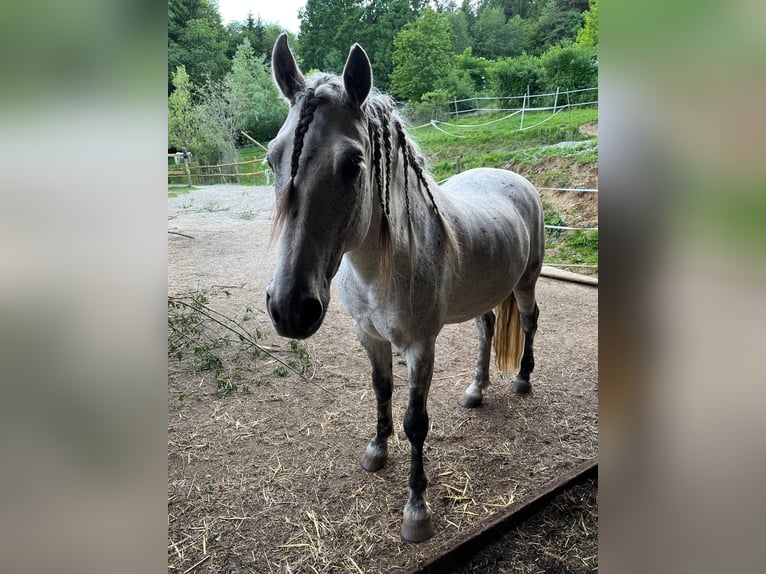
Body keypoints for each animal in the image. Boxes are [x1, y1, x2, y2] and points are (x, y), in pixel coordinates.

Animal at [265, 34, 544, 542]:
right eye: (271, 158)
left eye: (354, 164)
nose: (291, 308)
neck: (379, 267)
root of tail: (512, 176)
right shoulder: (369, 336)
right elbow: (381, 390)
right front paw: (377, 450)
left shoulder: (420, 345)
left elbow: (417, 422)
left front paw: (417, 510)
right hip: (487, 292)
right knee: (487, 327)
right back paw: (476, 390)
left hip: (527, 281)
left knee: (530, 322)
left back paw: (521, 380)